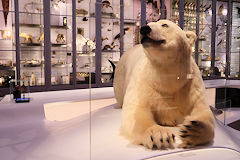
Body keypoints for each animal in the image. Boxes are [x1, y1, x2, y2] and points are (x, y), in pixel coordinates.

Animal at [113, 19, 215, 149]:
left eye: (165, 24)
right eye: (148, 24)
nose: (144, 28)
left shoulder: (190, 84)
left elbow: (201, 109)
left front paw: (193, 130)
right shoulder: (144, 82)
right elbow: (136, 110)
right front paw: (159, 134)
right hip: (120, 79)